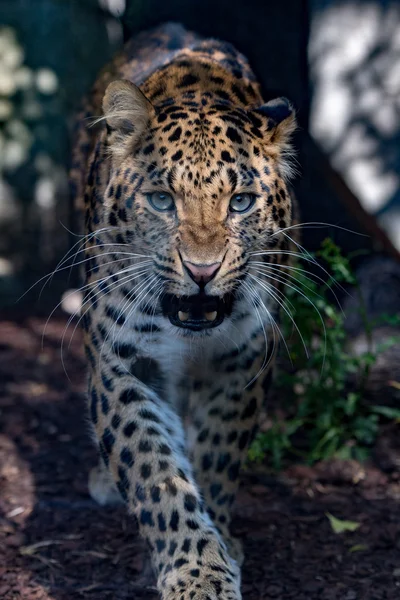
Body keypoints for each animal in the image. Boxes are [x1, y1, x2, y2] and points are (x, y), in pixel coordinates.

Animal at [71, 21, 296, 600]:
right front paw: (197, 572)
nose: (201, 271)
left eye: (240, 202)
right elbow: (155, 472)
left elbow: (218, 452)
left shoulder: (242, 359)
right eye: (161, 201)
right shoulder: (124, 363)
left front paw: (221, 541)